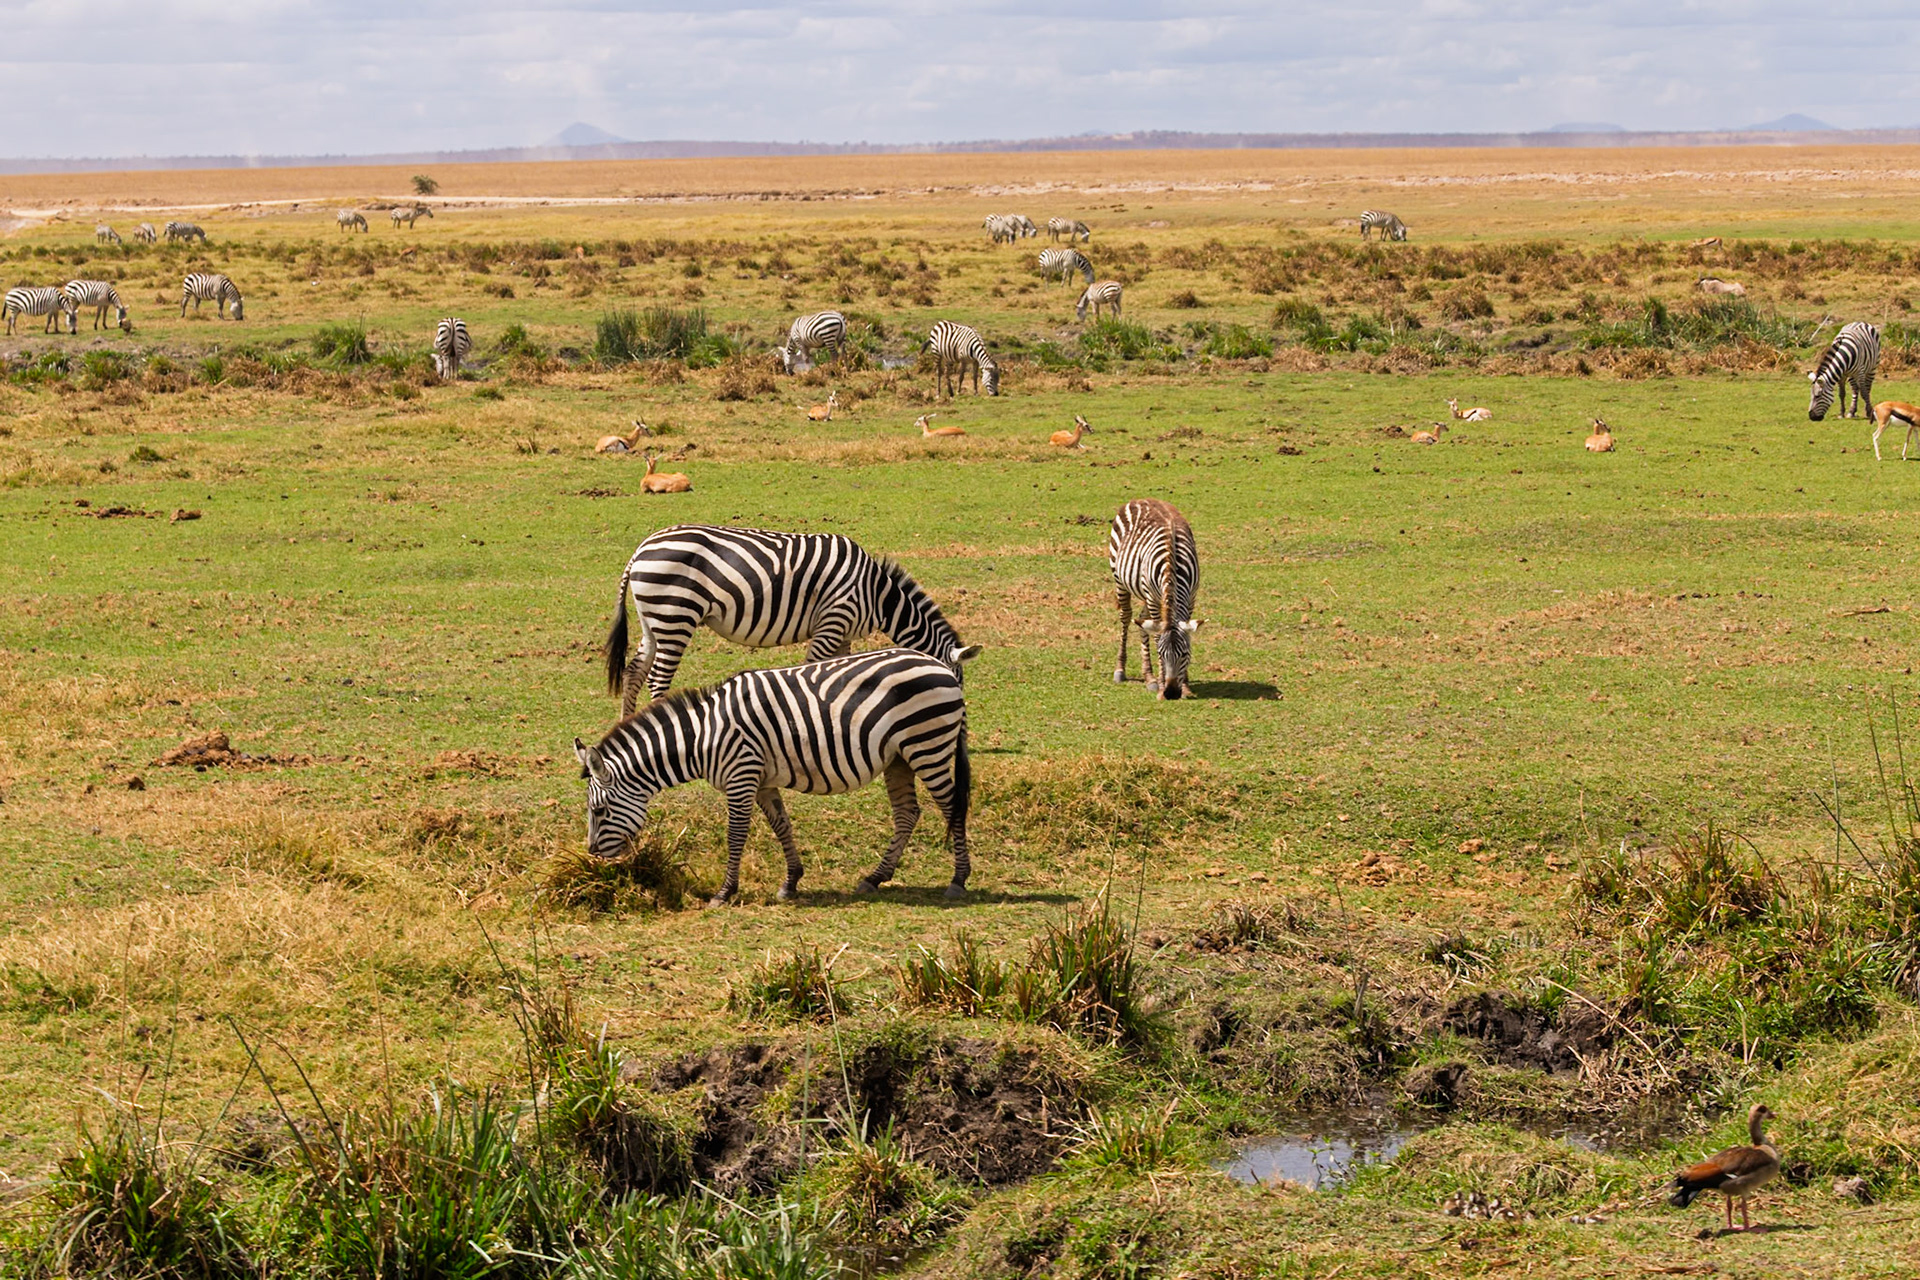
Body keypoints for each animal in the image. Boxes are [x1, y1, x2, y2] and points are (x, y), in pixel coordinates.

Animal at [575, 647, 974, 904]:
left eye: (599, 811)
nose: (593, 859)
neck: (703, 736)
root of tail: (939, 663)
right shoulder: (762, 780)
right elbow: (782, 826)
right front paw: (791, 882)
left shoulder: (741, 775)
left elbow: (736, 835)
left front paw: (724, 892)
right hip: (898, 758)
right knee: (907, 813)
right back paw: (874, 878)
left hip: (928, 745)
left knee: (952, 808)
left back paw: (958, 880)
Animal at [604, 524, 980, 712]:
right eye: (955, 684)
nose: (960, 719)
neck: (876, 594)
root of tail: (641, 549)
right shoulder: (833, 620)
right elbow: (814, 669)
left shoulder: (843, 633)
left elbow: (841, 673)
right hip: (675, 614)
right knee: (657, 679)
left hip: (653, 619)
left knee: (634, 672)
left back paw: (629, 724)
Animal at [1108, 498, 1202, 701]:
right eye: (1160, 653)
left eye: (1185, 654)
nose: (1171, 693)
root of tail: (1140, 499)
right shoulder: (1152, 597)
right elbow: (1158, 636)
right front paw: (1160, 684)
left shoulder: (1191, 598)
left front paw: (1186, 686)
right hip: (1120, 579)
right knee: (1126, 617)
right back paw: (1120, 670)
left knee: (1142, 620)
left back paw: (1148, 676)